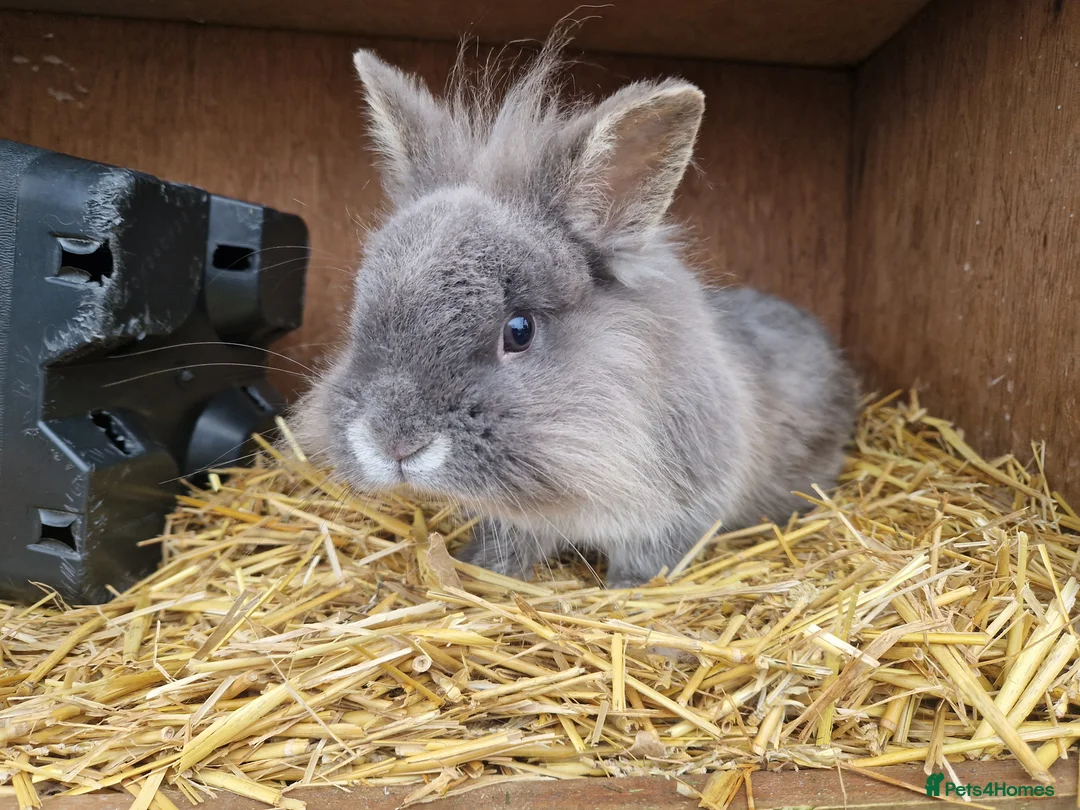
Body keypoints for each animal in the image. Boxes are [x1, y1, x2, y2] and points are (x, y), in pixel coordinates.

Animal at [291, 36, 857, 589]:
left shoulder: (678, 512)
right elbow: (507, 546)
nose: (393, 443)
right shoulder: (517, 522)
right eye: (360, 311)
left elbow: (647, 563)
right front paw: (481, 571)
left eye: (519, 330)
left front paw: (627, 593)